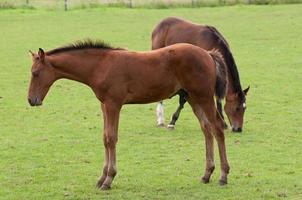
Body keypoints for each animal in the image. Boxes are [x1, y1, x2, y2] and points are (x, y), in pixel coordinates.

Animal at [28, 39, 230, 190]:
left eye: (35, 73)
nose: (31, 100)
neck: (101, 65)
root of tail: (208, 54)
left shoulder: (113, 104)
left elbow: (111, 138)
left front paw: (108, 179)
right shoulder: (104, 105)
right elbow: (105, 138)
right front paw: (102, 178)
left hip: (204, 97)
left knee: (218, 128)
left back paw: (223, 175)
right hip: (192, 98)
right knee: (206, 128)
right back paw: (207, 174)